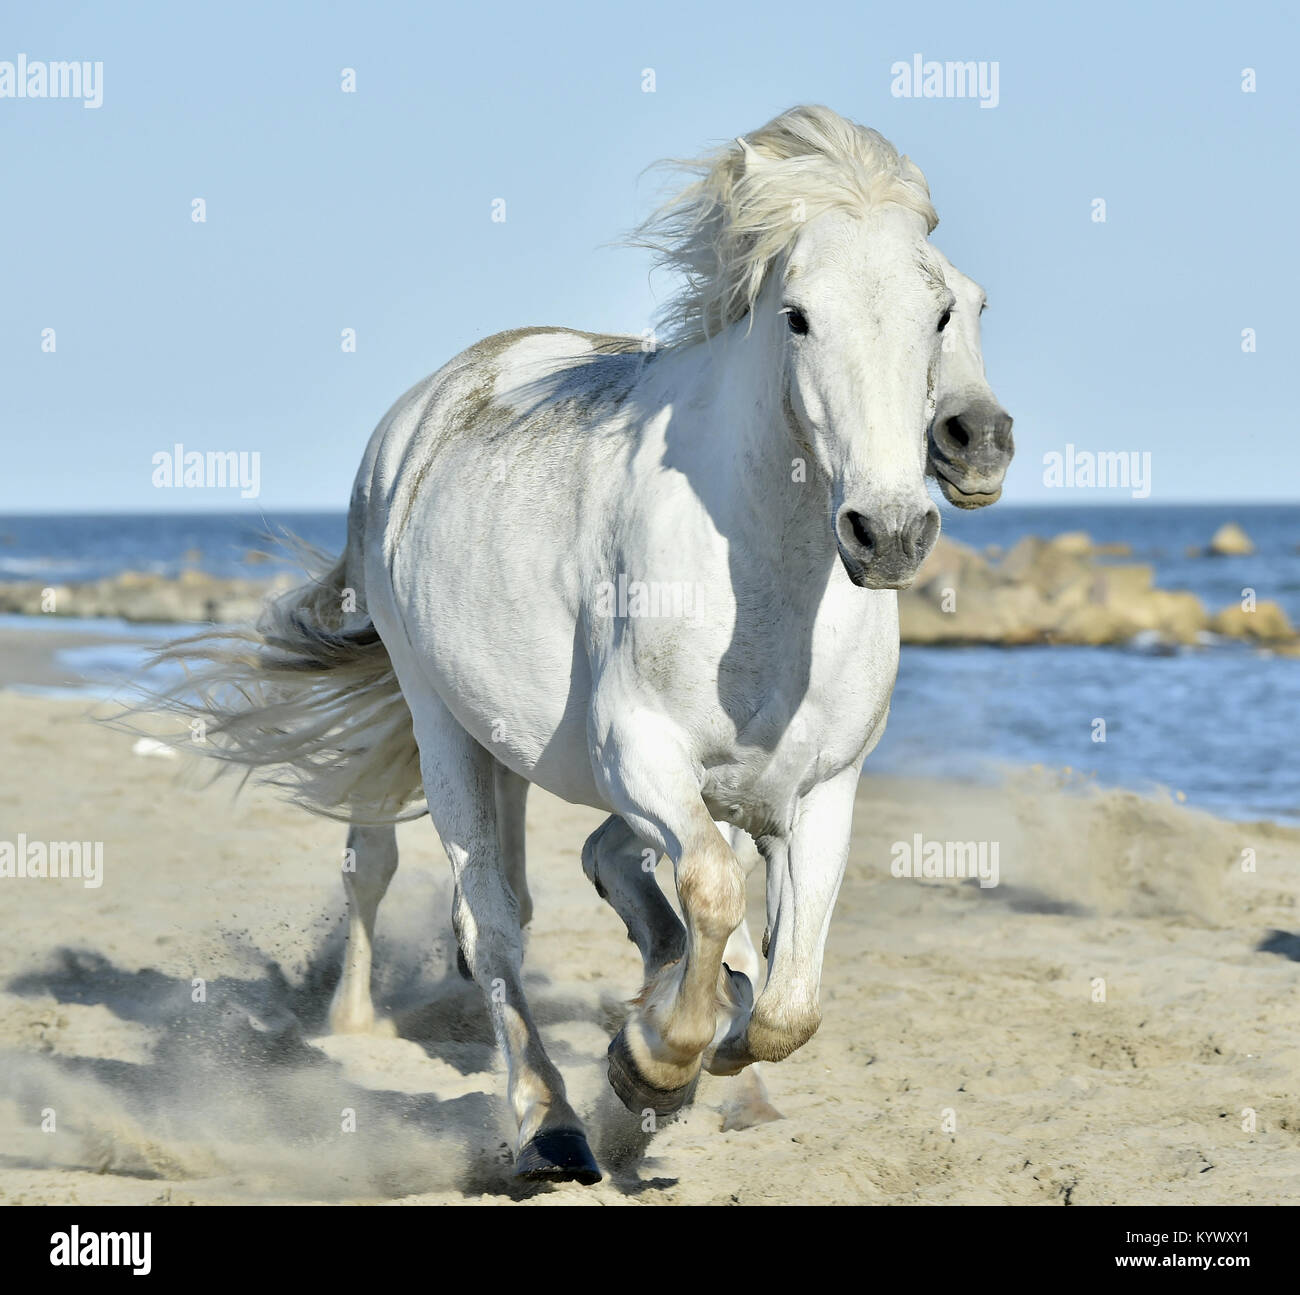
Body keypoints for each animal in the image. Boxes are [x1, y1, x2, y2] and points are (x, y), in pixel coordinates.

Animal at [153, 105, 1007, 1186]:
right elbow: (713, 897)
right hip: (446, 731)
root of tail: (416, 413)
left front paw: (701, 1055)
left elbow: (787, 997)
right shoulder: (638, 751)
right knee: (490, 921)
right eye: (798, 316)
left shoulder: (819, 790)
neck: (762, 571)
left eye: (942, 310)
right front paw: (650, 1061)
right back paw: (550, 1125)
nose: (888, 531)